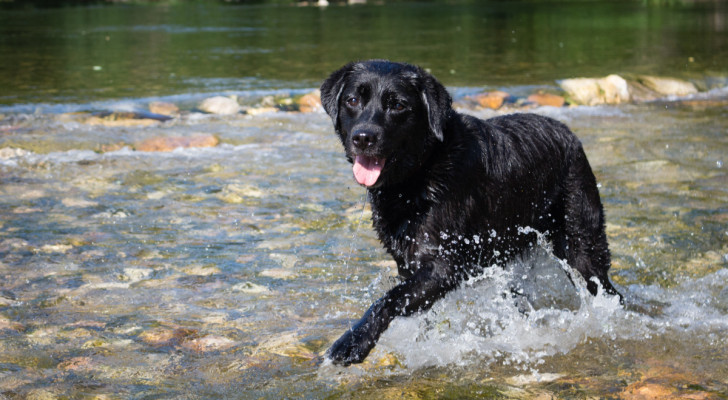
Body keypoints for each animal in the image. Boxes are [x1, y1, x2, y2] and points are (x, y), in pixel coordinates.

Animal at [322, 58, 624, 366]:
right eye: (352, 100)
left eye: (398, 105)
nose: (363, 137)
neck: (421, 171)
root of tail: (570, 135)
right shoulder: (409, 262)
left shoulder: (443, 265)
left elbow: (390, 299)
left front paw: (353, 342)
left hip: (581, 244)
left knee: (606, 288)